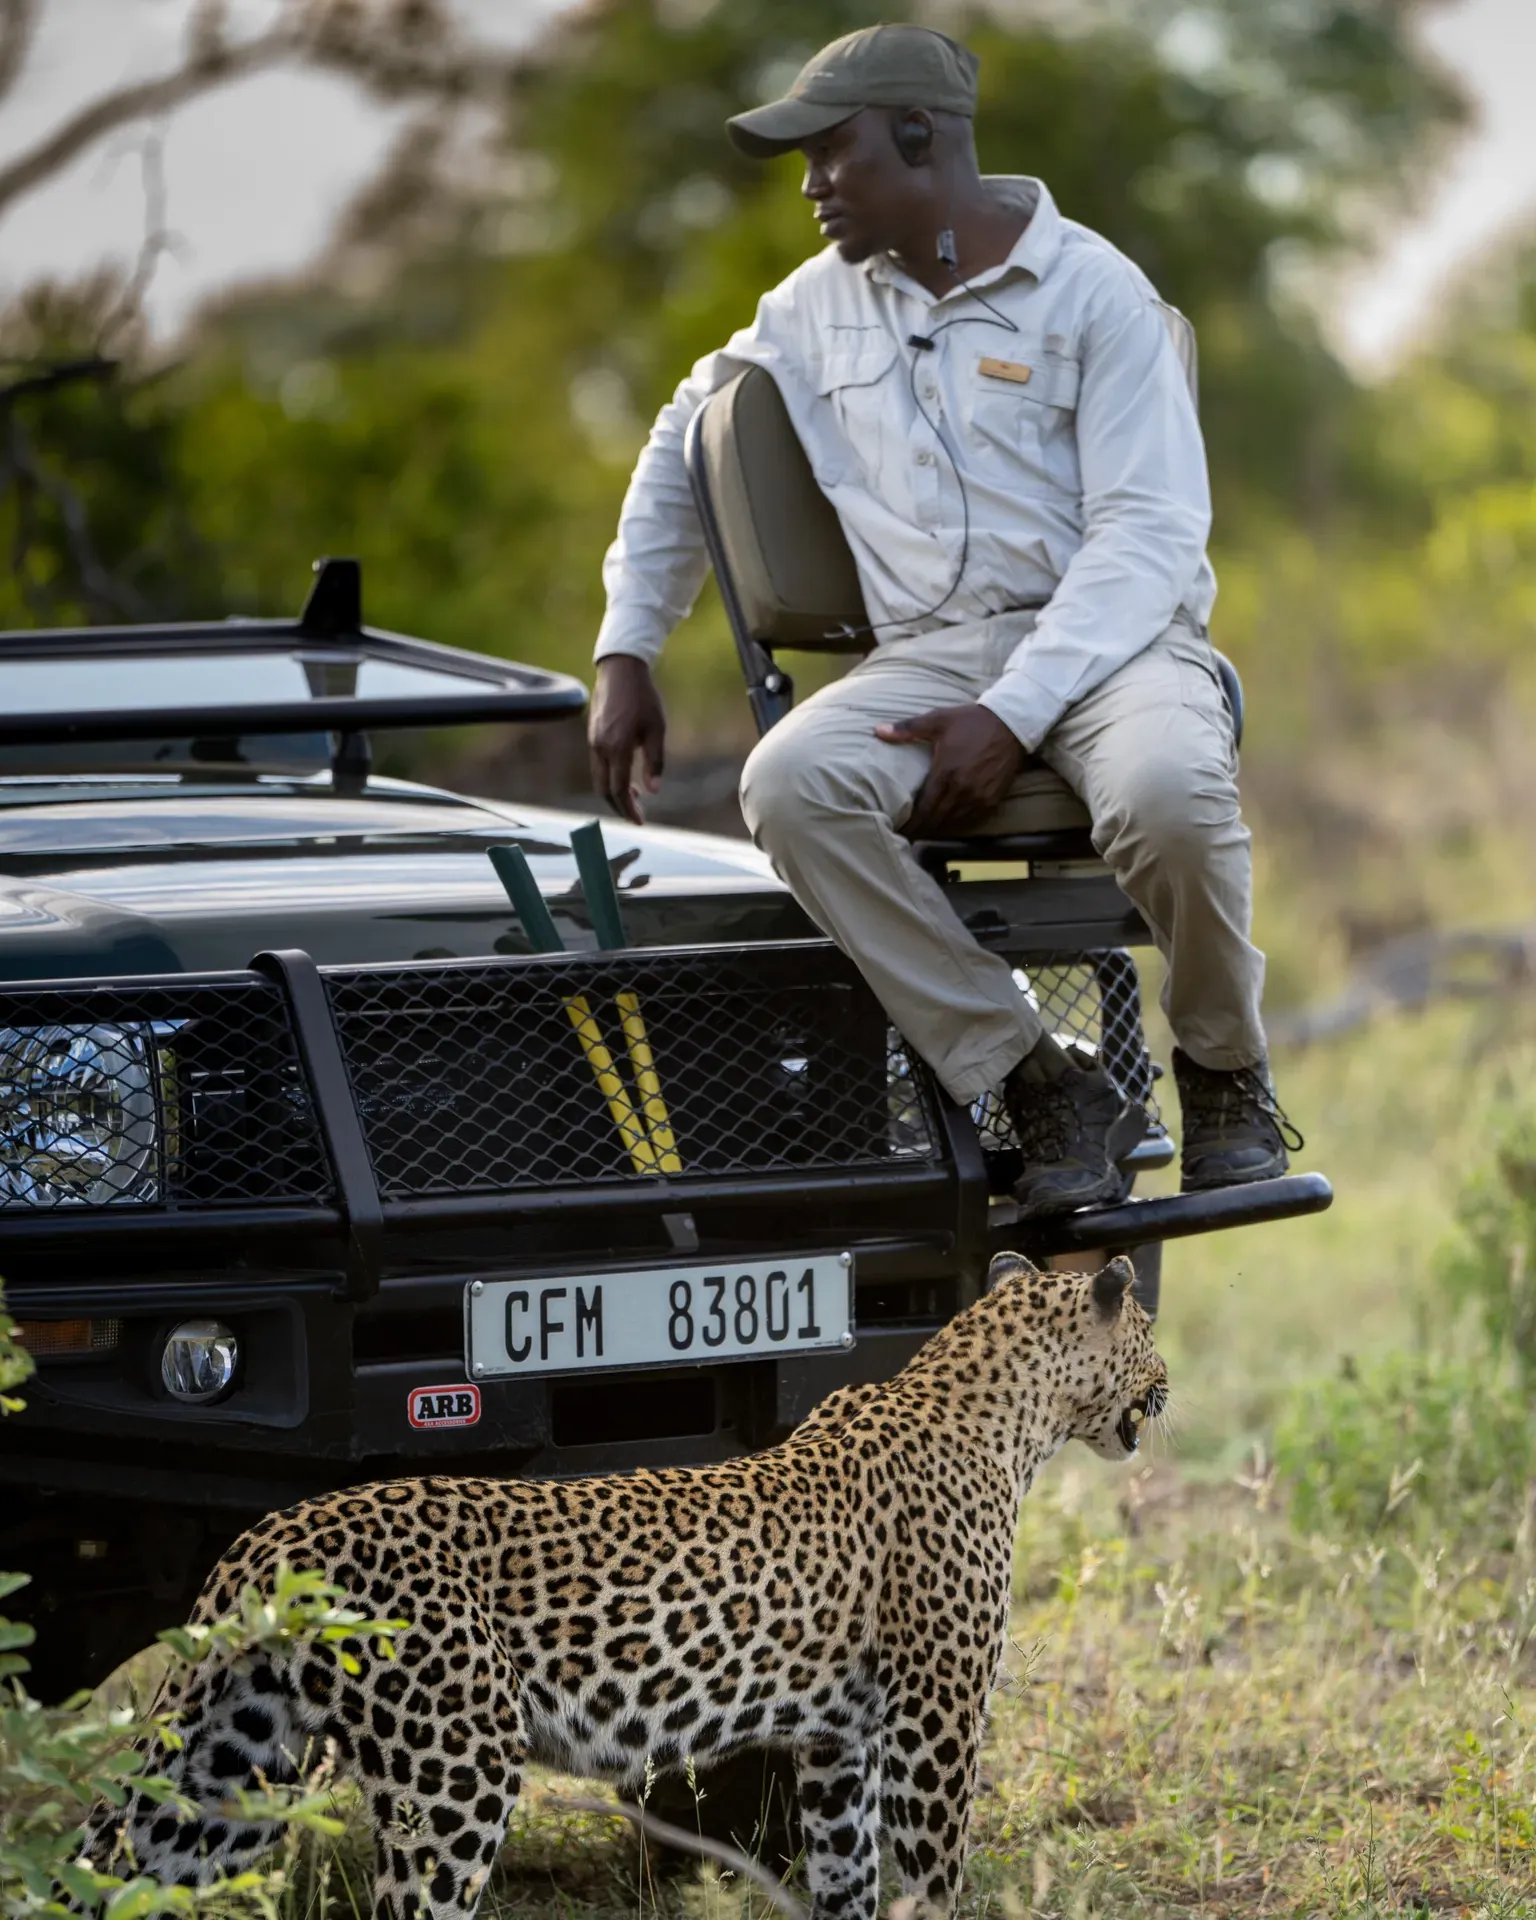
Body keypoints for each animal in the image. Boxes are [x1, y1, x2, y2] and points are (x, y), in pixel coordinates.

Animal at [83, 1252, 1167, 1920]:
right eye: (1152, 1333)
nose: (1168, 1390)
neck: (1005, 1414)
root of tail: (275, 1533)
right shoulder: (934, 1717)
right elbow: (934, 1879)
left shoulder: (836, 1739)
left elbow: (848, 1877)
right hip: (453, 1767)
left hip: (226, 1770)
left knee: (117, 1869)